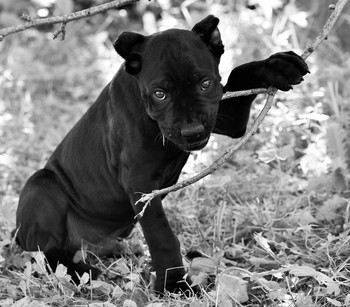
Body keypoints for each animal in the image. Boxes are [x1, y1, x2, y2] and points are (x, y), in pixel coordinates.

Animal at [15, 16, 308, 294]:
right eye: (160, 94)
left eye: (205, 84)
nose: (192, 131)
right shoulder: (138, 181)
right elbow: (161, 235)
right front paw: (174, 284)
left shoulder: (225, 116)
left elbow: (238, 72)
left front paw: (276, 66)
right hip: (42, 185)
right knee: (43, 252)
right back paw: (81, 272)